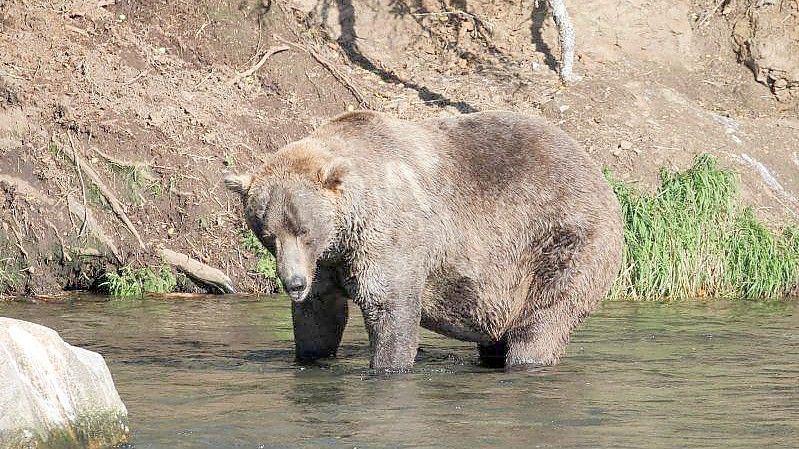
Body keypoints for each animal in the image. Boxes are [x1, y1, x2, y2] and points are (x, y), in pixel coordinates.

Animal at [225, 110, 624, 370]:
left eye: (304, 229)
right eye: (268, 234)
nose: (293, 283)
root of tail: (597, 170)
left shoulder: (390, 236)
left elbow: (390, 307)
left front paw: (388, 364)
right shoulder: (327, 262)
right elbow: (319, 315)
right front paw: (311, 356)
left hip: (561, 239)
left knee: (544, 318)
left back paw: (527, 358)